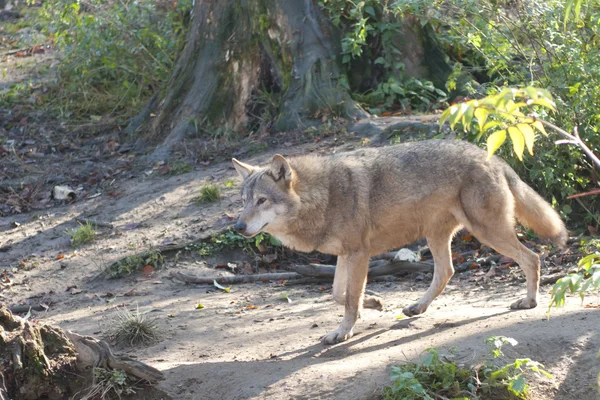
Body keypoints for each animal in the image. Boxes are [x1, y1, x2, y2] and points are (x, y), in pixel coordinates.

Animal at [231, 141, 568, 344]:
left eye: (262, 200)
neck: (323, 196)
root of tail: (492, 156)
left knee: (532, 258)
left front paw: (344, 331)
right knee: (446, 272)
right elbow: (339, 294)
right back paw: (417, 307)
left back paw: (529, 302)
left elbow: (349, 299)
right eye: (244, 201)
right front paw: (373, 303)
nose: (238, 226)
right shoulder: (346, 255)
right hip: (439, 236)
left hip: (488, 232)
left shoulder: (359, 253)